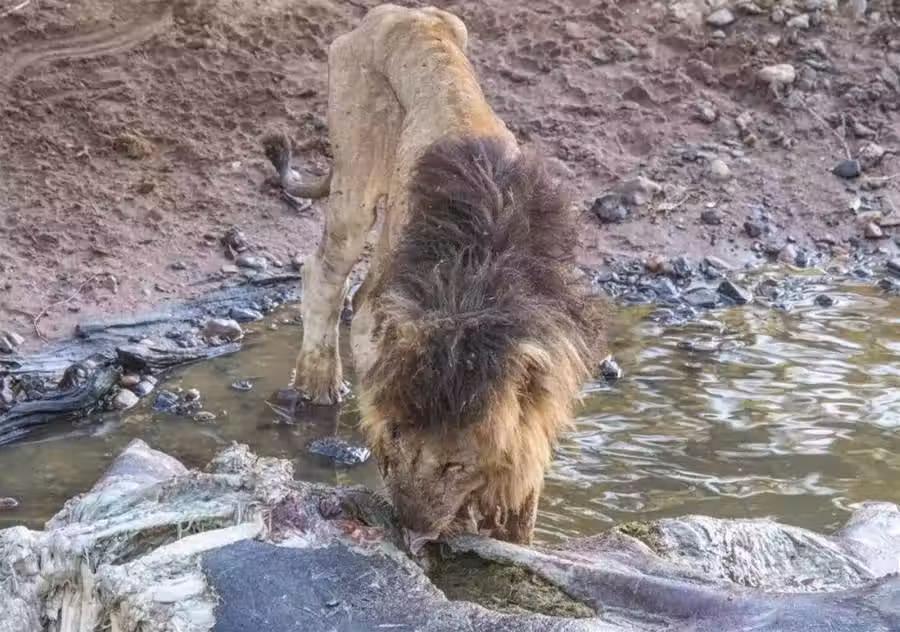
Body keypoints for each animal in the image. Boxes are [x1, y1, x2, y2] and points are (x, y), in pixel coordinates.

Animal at [261, 4, 607, 553]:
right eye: (400, 441)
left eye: (456, 465)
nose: (412, 532)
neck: (471, 294)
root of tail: (397, 13)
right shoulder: (380, 320)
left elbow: (521, 506)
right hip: (356, 176)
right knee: (323, 273)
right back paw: (320, 385)